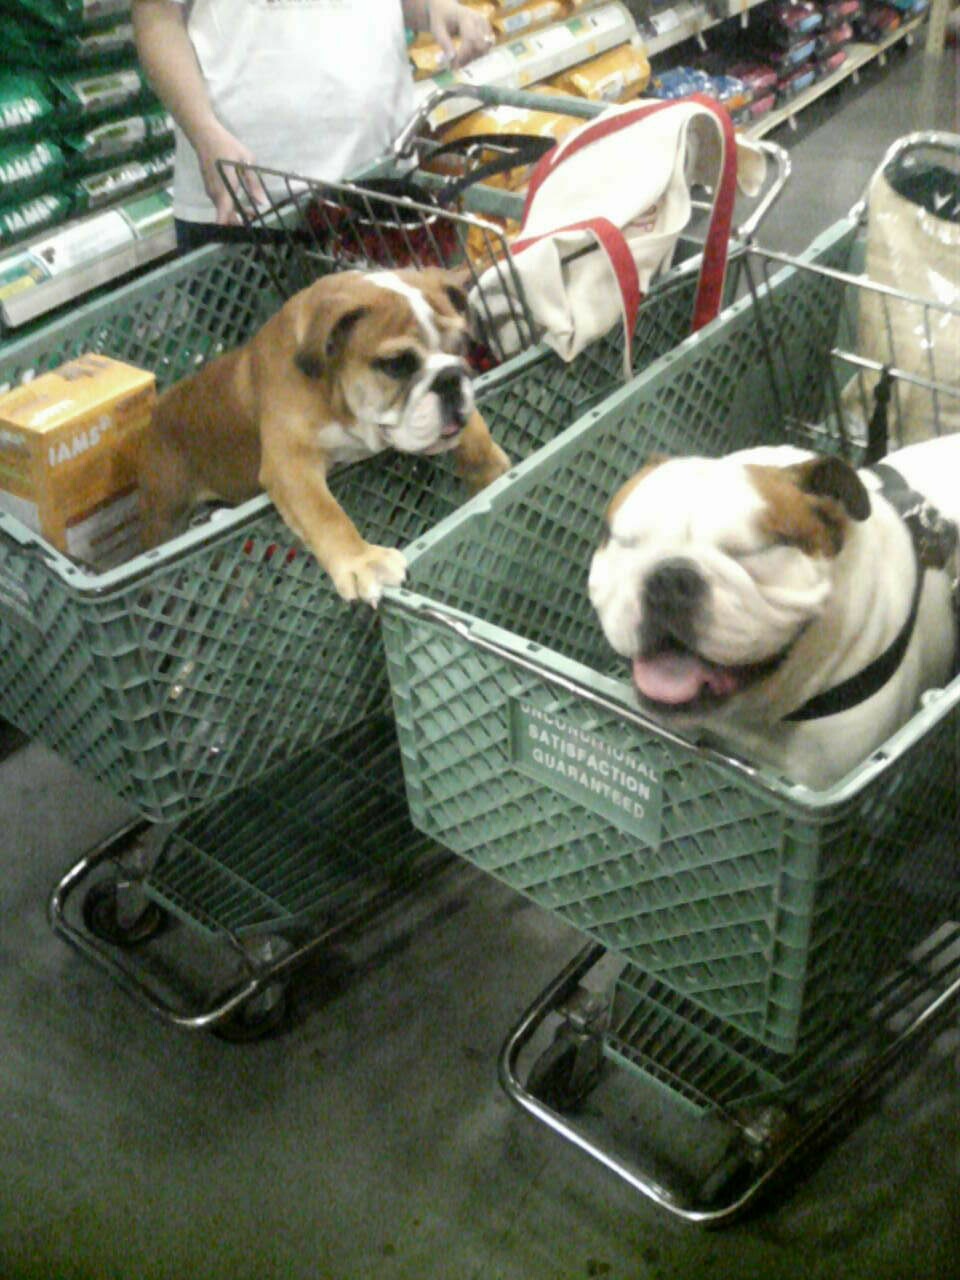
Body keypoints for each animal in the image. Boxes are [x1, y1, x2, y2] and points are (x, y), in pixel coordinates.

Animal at [137, 266, 510, 605]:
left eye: (461, 345)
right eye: (396, 364)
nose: (450, 378)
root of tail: (153, 415)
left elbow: (475, 436)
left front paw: (491, 471)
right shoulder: (290, 463)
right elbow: (325, 513)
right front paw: (362, 561)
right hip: (164, 513)